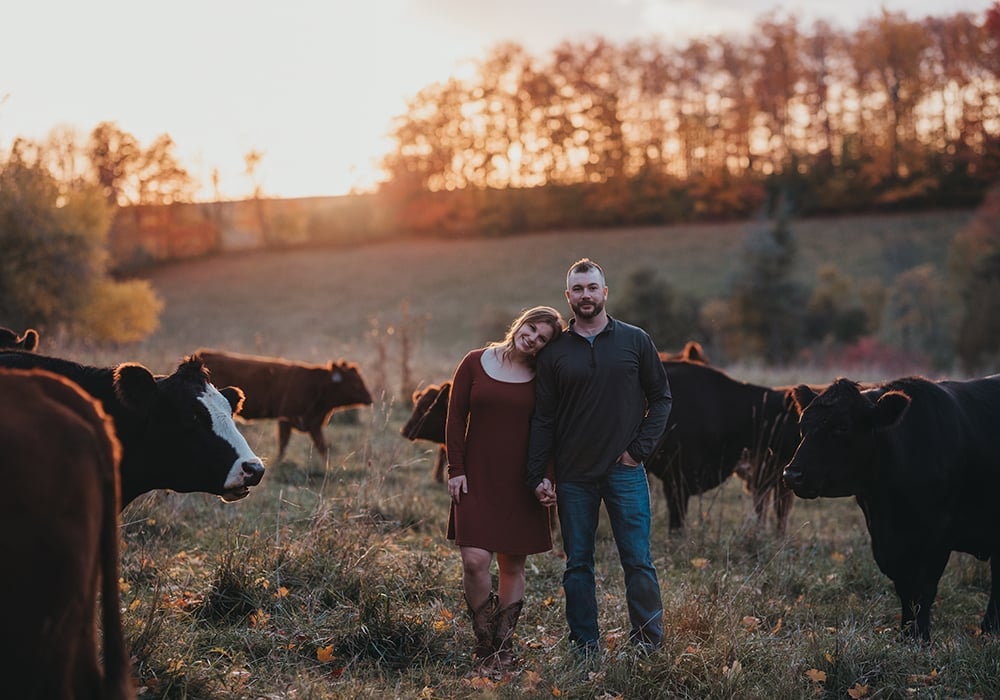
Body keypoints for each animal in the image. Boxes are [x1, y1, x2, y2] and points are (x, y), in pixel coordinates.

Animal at [194, 348, 372, 460]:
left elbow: (323, 448)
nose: (370, 398)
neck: (315, 385)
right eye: (355, 383)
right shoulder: (286, 420)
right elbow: (283, 445)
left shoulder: (314, 425)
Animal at [780, 378, 1000, 640]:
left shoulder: (938, 536)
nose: (792, 474)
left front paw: (920, 637)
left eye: (842, 427)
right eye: (803, 425)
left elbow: (924, 589)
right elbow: (905, 589)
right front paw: (905, 635)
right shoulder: (885, 540)